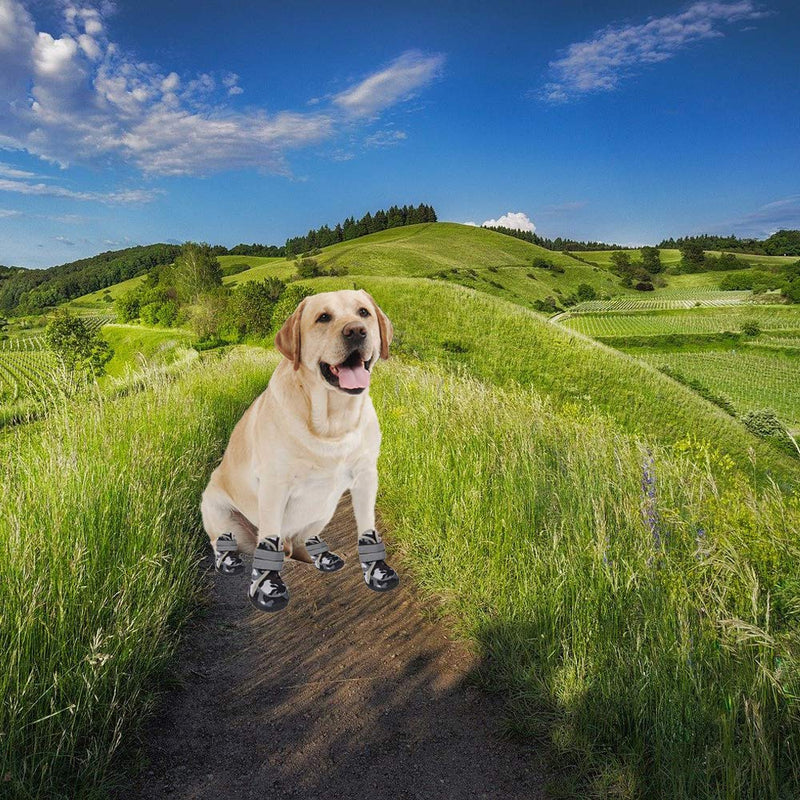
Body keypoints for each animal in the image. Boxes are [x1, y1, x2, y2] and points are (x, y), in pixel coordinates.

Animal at [202, 290, 398, 612]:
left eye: (364, 313)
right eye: (323, 317)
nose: (357, 331)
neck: (333, 422)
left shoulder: (367, 475)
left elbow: (367, 527)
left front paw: (376, 570)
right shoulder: (274, 485)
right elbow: (268, 540)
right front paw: (267, 585)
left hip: (324, 508)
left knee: (304, 538)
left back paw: (320, 554)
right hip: (218, 512)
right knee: (225, 543)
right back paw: (230, 559)